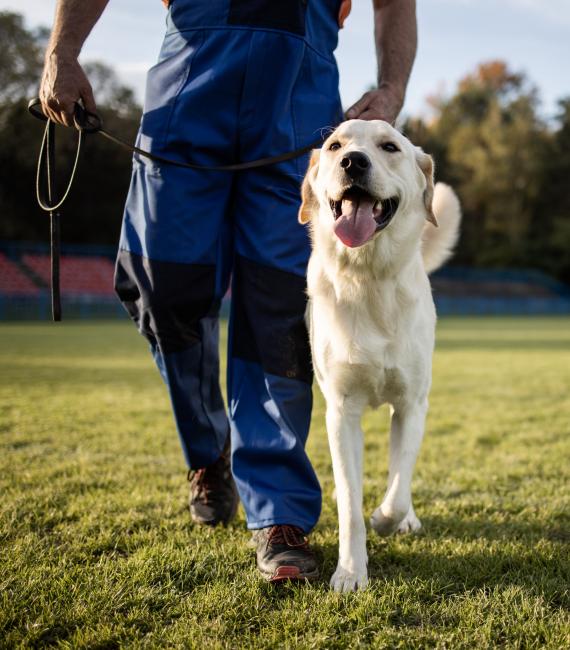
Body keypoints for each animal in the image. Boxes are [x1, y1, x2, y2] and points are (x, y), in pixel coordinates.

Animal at [300, 119, 460, 588]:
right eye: (335, 146)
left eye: (390, 147)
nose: (353, 161)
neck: (368, 277)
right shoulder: (341, 412)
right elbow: (349, 504)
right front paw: (351, 572)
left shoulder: (412, 405)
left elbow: (398, 487)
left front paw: (389, 520)